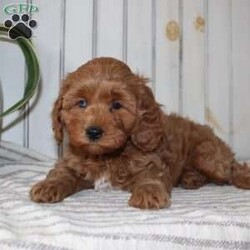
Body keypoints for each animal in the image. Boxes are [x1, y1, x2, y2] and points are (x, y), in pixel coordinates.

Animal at [29, 57, 250, 209]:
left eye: (116, 105)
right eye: (81, 103)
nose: (93, 132)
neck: (107, 156)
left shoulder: (152, 161)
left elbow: (150, 176)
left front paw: (148, 193)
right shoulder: (71, 161)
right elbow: (61, 172)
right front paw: (47, 186)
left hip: (207, 156)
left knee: (231, 169)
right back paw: (190, 179)